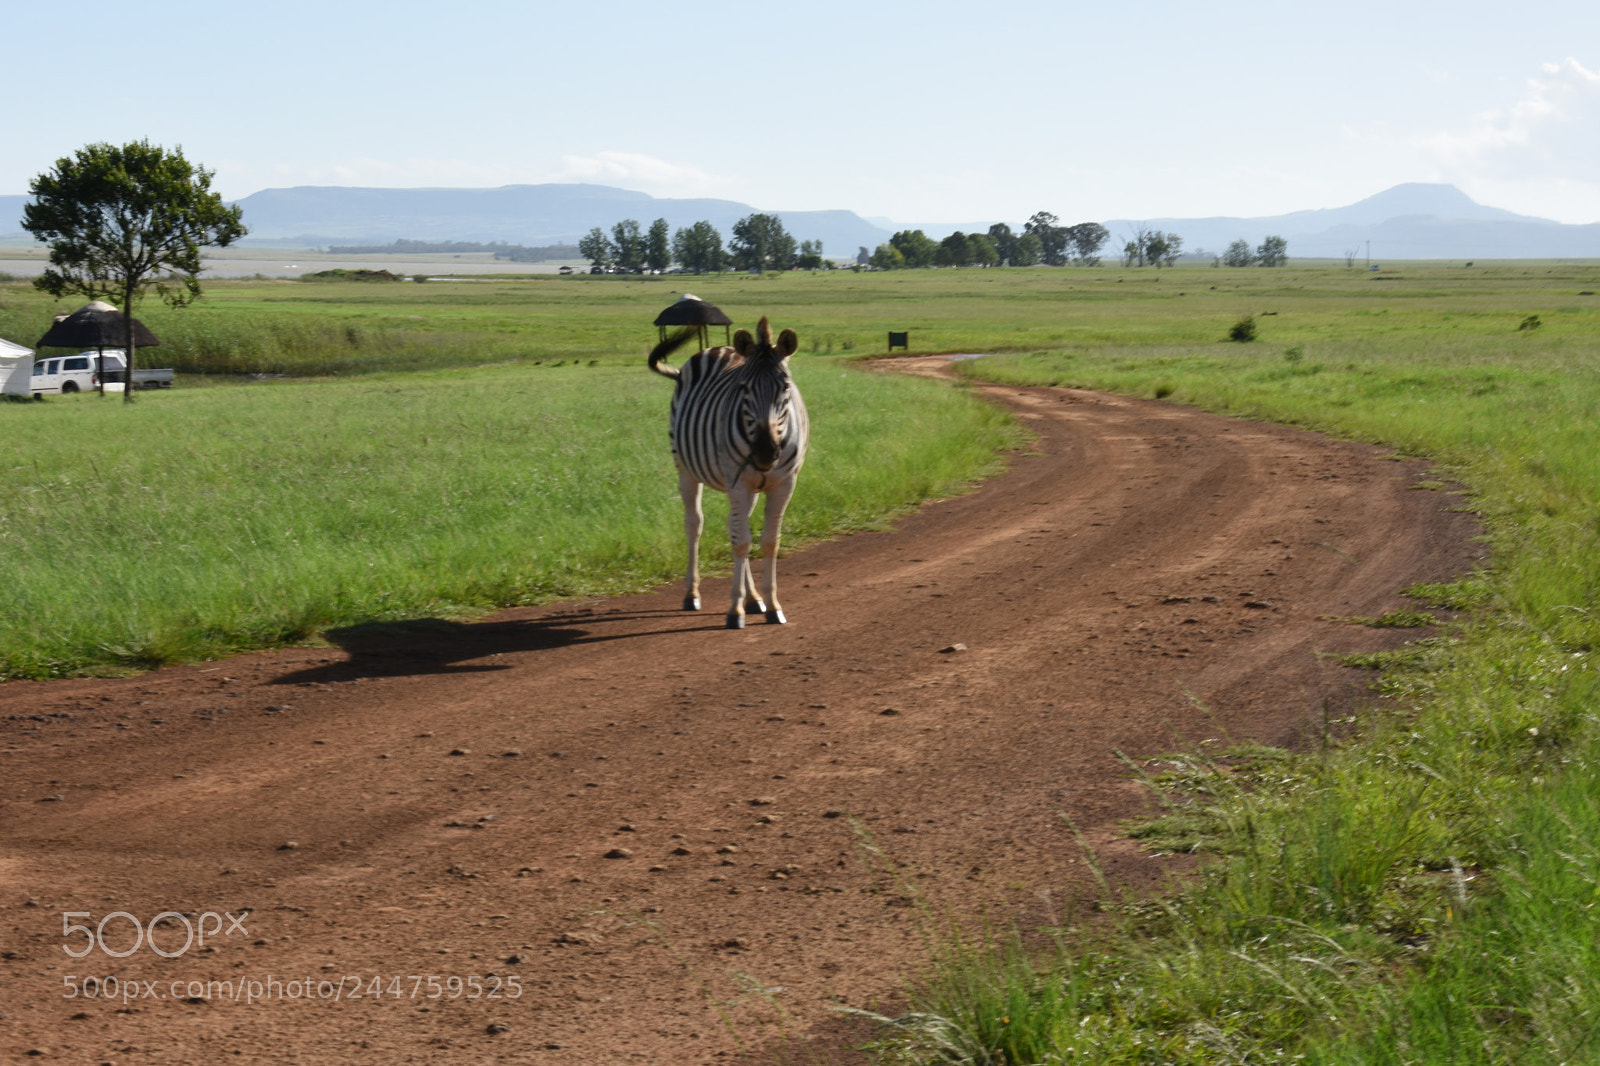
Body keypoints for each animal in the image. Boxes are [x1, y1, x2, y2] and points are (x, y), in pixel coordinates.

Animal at [649, 316, 809, 629]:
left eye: (785, 387)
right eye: (744, 387)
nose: (764, 452)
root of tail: (716, 349)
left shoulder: (784, 483)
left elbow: (769, 541)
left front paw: (771, 604)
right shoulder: (739, 482)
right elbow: (743, 541)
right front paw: (735, 610)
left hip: (747, 486)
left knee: (733, 525)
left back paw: (754, 599)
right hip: (687, 468)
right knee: (695, 524)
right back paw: (692, 594)